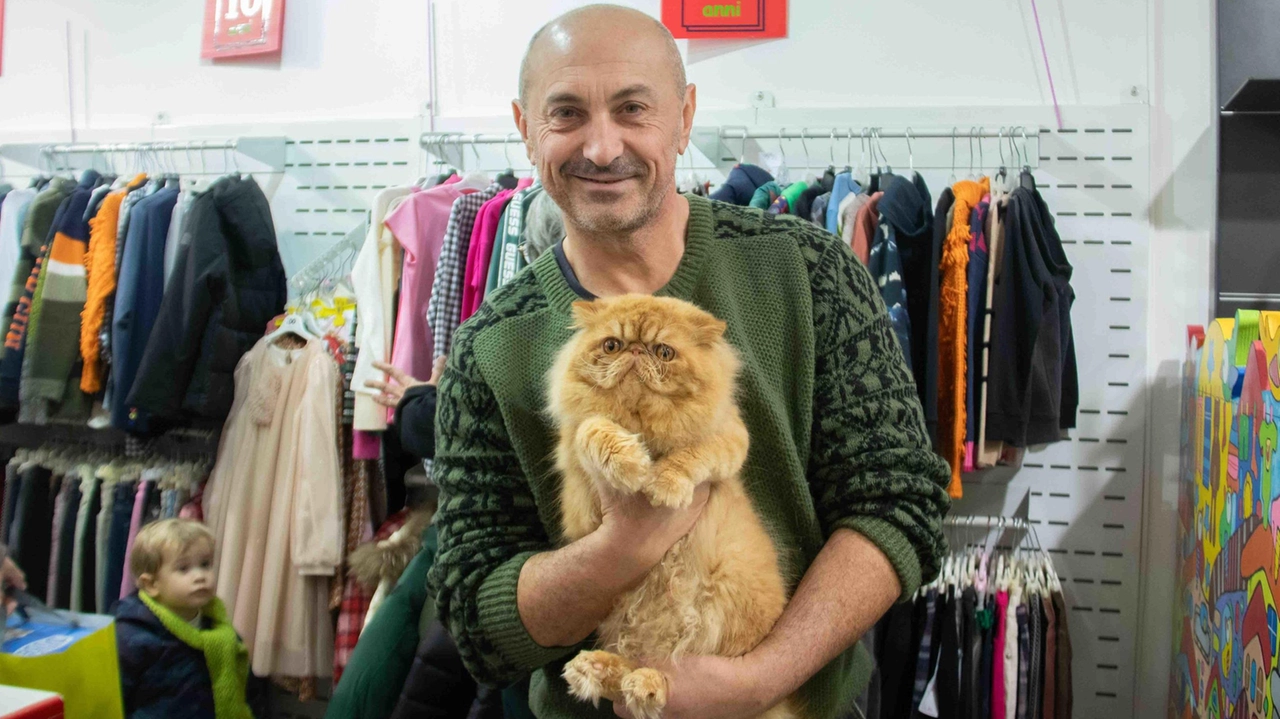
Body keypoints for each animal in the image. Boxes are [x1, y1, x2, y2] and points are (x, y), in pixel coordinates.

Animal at [547, 294, 798, 716]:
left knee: (667, 672)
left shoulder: (729, 438)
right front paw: (630, 464)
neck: (643, 426)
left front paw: (662, 484)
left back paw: (642, 684)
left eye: (663, 352)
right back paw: (593, 670)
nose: (635, 351)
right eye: (612, 345)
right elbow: (594, 428)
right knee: (635, 669)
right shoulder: (582, 500)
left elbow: (692, 454)